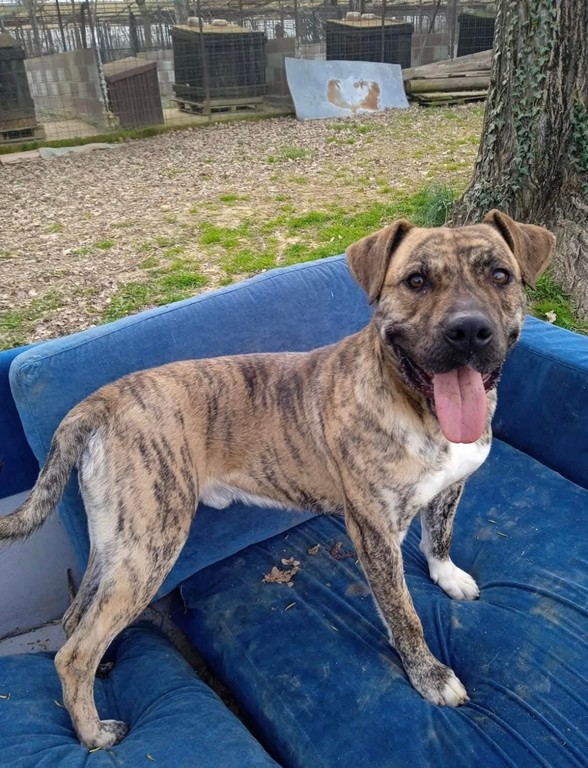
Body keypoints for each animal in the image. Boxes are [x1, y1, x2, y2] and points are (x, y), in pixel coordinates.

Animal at [0, 210, 554, 749]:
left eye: (500, 275)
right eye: (416, 281)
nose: (469, 331)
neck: (421, 409)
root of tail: (103, 399)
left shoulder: (450, 488)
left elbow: (440, 535)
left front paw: (447, 575)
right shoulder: (375, 534)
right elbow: (405, 614)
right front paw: (431, 677)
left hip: (117, 542)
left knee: (76, 619)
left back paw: (106, 670)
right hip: (150, 544)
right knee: (73, 654)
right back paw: (93, 734)